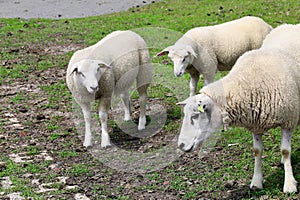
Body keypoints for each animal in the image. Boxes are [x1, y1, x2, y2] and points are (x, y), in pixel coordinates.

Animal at [177, 23, 298, 194]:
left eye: (195, 116)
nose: (181, 146)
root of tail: (290, 25)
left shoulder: (289, 120)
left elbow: (285, 151)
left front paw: (289, 185)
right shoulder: (256, 123)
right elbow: (257, 151)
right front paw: (256, 181)